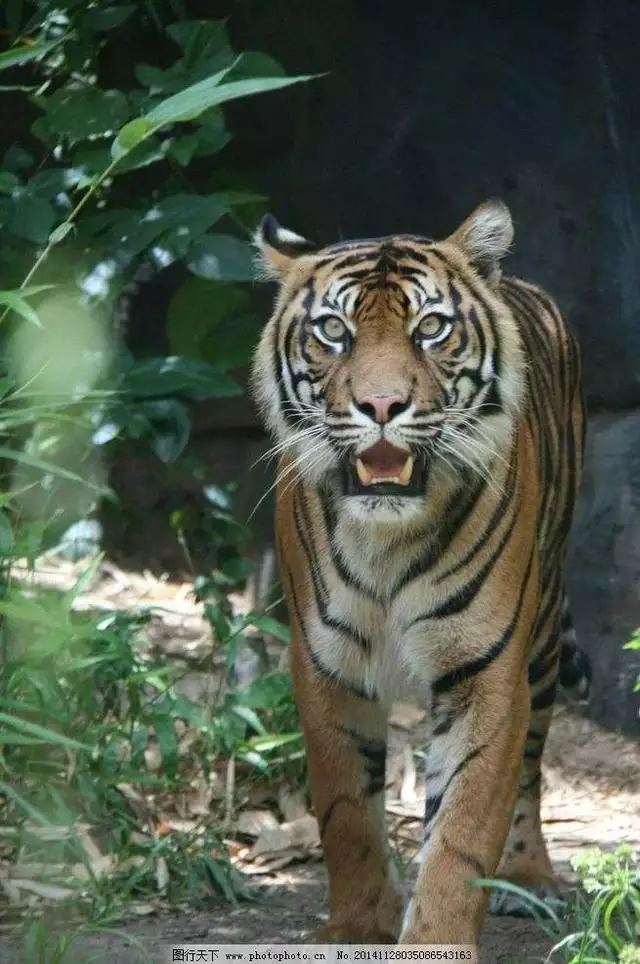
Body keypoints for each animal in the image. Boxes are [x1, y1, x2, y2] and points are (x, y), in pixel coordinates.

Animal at [250, 200, 592, 952]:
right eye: (334, 332)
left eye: (430, 329)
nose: (381, 406)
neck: (387, 538)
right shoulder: (326, 662)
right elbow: (345, 808)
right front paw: (355, 928)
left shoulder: (485, 669)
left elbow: (462, 828)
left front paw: (434, 937)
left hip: (544, 628)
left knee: (531, 765)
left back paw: (527, 876)